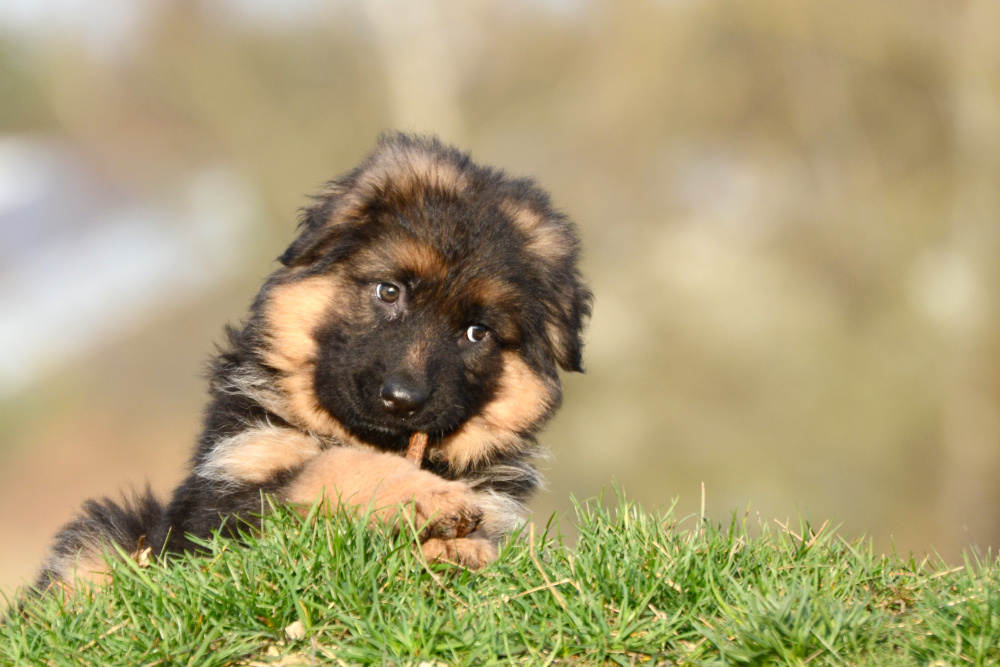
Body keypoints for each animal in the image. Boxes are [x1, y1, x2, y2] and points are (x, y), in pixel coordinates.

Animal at [35, 133, 588, 592]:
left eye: (477, 333)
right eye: (389, 291)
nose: (402, 400)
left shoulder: (496, 507)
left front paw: (452, 546)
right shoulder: (217, 506)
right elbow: (330, 465)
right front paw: (425, 496)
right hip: (103, 537)